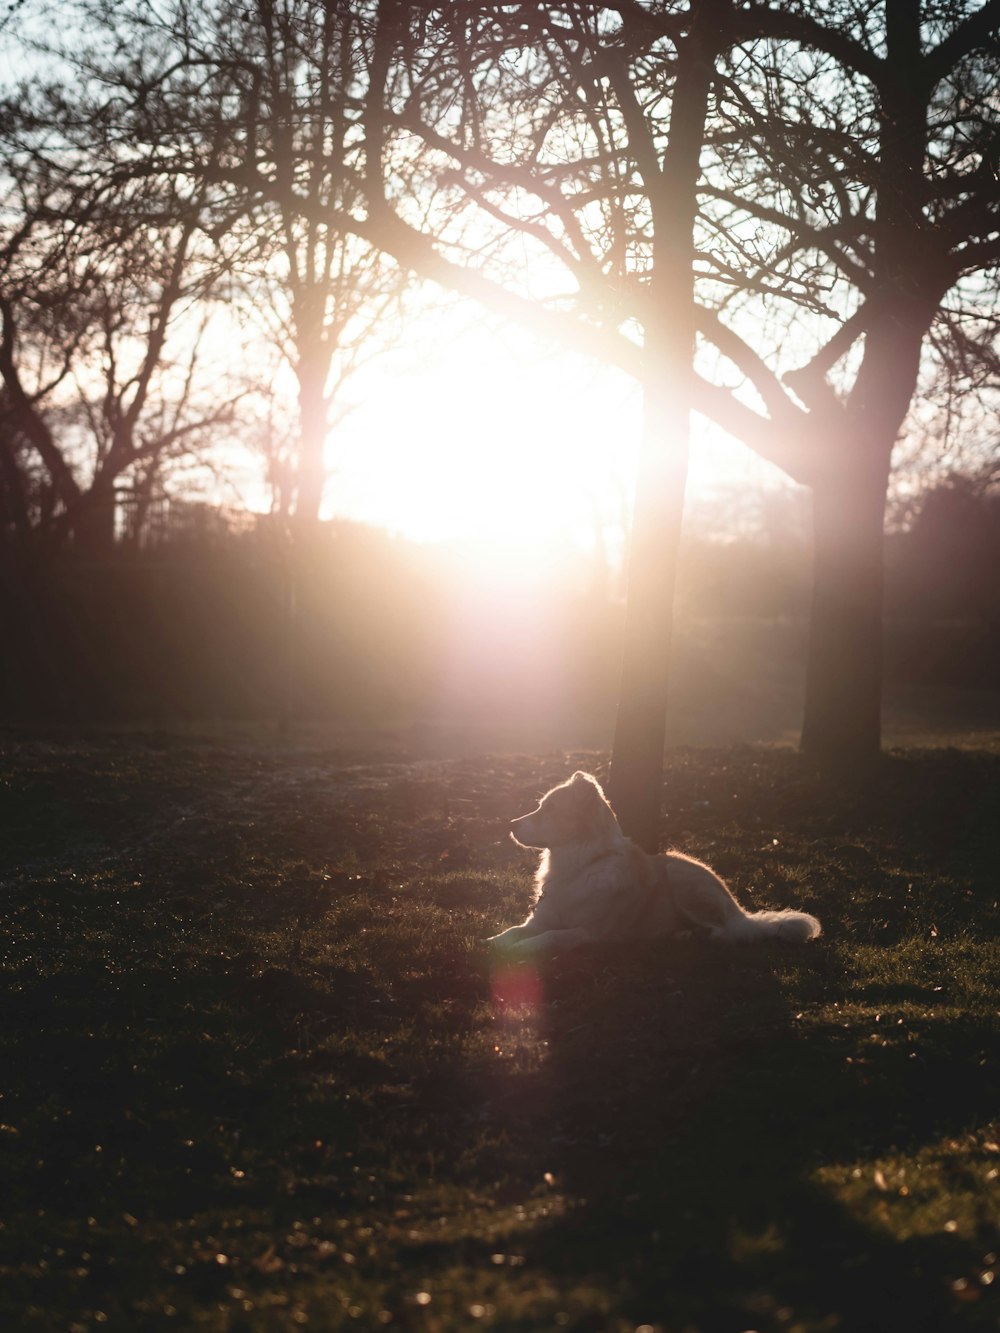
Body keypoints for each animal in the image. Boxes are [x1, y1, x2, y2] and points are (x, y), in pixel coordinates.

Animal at [485, 773, 821, 959]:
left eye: (550, 809)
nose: (510, 824)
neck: (580, 866)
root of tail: (740, 911)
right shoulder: (541, 918)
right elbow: (514, 930)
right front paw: (492, 942)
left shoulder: (590, 932)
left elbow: (551, 936)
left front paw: (519, 950)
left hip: (681, 876)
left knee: (730, 933)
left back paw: (696, 936)